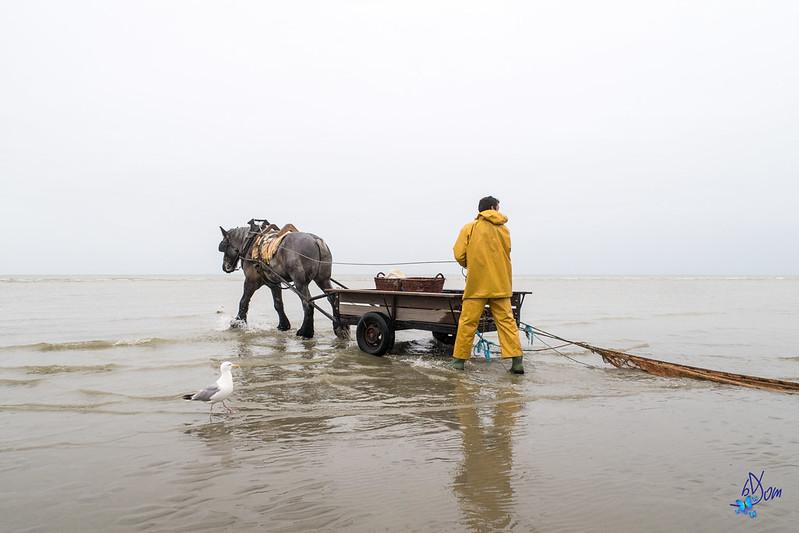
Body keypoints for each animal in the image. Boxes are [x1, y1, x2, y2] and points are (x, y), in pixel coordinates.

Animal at [218, 223, 349, 339]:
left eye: (224, 246)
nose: (225, 267)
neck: (251, 244)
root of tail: (316, 240)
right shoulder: (273, 283)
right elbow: (278, 304)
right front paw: (283, 325)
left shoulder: (251, 281)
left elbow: (244, 301)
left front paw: (238, 322)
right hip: (323, 279)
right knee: (332, 299)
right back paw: (340, 327)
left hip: (300, 282)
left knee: (307, 303)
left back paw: (305, 332)